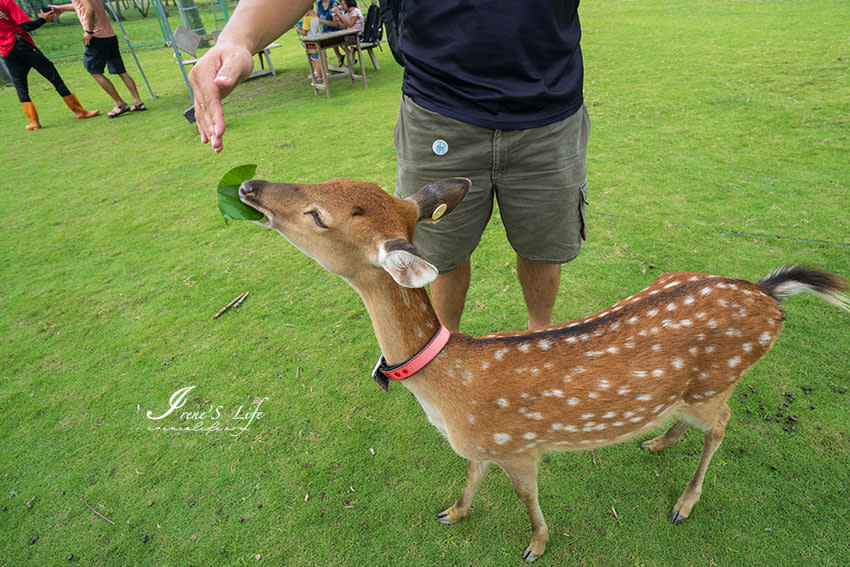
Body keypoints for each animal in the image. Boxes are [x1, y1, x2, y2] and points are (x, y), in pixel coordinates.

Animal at [234, 178, 848, 564]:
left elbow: (526, 499)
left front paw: (536, 545)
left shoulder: (519, 446)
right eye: (328, 180)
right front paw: (452, 513)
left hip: (717, 380)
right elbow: (470, 475)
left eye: (319, 216)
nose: (250, 187)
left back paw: (683, 504)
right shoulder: (481, 442)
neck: (446, 387)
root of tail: (770, 297)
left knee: (721, 425)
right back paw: (656, 442)